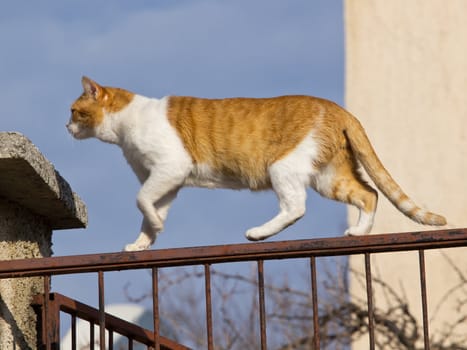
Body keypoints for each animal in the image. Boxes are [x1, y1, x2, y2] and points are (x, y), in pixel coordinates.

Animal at [66, 76, 446, 252]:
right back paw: (358, 232)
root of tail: (338, 108)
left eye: (73, 111)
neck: (126, 124)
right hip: (329, 176)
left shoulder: (170, 168)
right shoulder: (167, 182)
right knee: (369, 194)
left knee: (296, 207)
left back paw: (258, 233)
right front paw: (144, 241)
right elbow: (148, 210)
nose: (65, 126)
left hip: (283, 167)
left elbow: (141, 199)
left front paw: (155, 227)